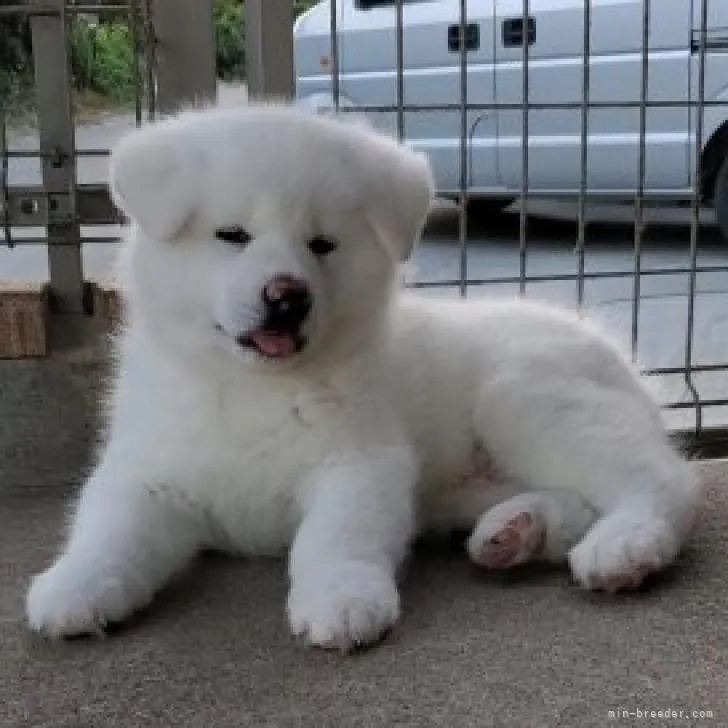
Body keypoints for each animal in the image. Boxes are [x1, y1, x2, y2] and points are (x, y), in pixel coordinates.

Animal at [27, 102, 700, 648]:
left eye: (322, 244)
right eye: (232, 235)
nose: (287, 296)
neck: (252, 387)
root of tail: (627, 367)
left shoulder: (360, 461)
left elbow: (334, 536)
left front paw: (342, 600)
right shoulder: (147, 472)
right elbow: (107, 529)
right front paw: (73, 586)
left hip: (527, 396)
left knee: (661, 480)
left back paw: (626, 546)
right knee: (579, 499)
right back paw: (516, 532)